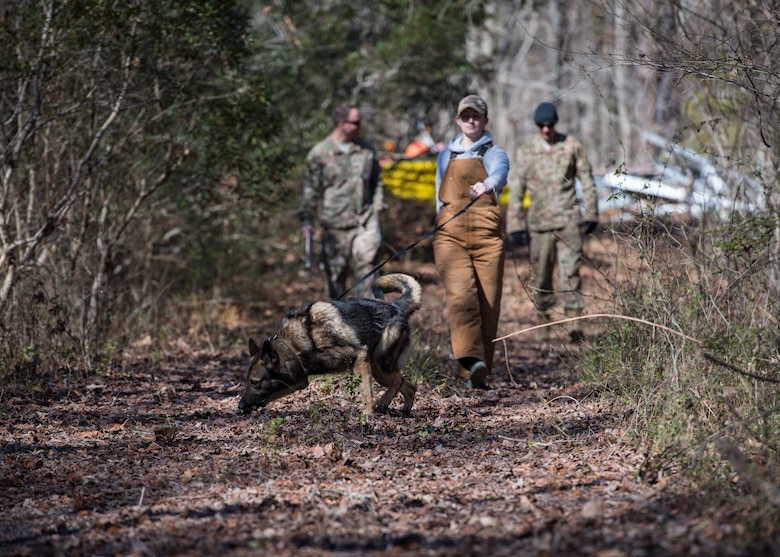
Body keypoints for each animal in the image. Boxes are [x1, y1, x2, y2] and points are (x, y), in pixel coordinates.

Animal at [238, 274, 420, 416]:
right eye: (246, 380)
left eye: (254, 382)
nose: (239, 406)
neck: (293, 345)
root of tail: (395, 306)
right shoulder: (298, 381)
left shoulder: (359, 356)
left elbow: (367, 394)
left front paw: (367, 414)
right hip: (378, 371)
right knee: (409, 386)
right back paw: (403, 410)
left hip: (380, 362)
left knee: (398, 380)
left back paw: (384, 402)